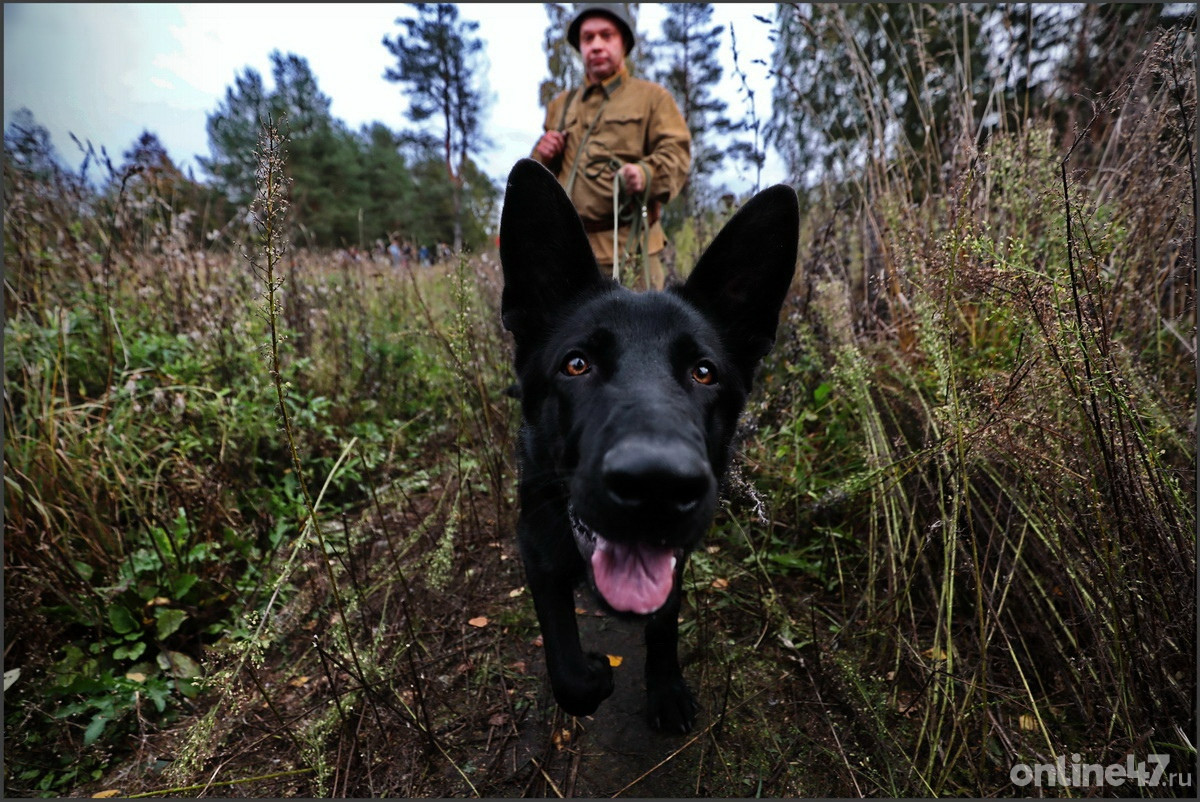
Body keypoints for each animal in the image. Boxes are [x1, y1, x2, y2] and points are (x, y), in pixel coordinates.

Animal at [496, 158, 796, 734]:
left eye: (704, 373)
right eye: (576, 364)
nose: (657, 484)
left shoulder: (675, 556)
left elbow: (662, 626)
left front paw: (666, 689)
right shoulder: (536, 544)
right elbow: (565, 664)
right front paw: (593, 676)